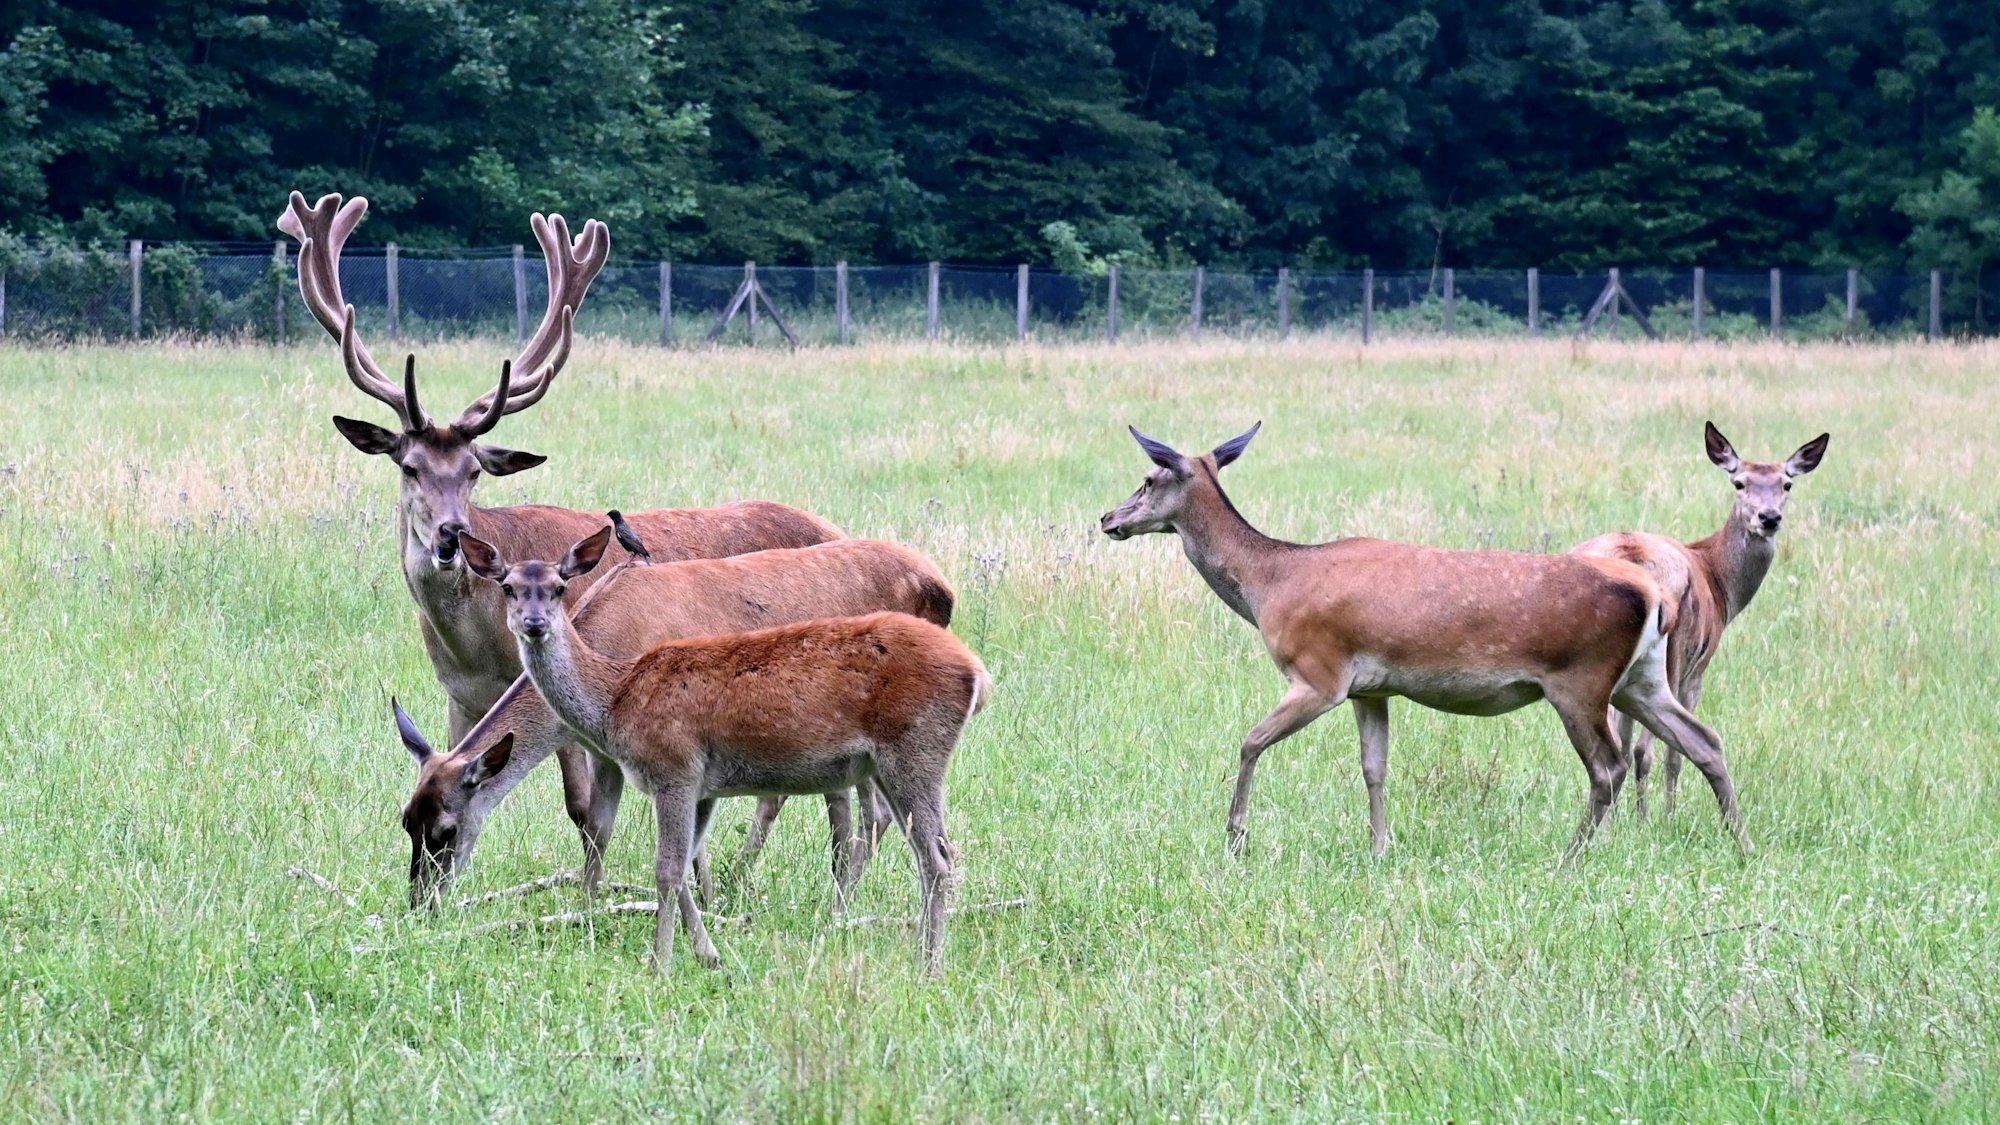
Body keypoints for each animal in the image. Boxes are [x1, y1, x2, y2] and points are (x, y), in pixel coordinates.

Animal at [279, 192, 843, 894]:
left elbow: (581, 810)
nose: (451, 535)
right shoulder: (456, 698)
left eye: (473, 471)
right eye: (408, 466)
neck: (476, 648)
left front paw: (590, 892)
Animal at [458, 526, 990, 976]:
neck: (615, 700)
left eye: (558, 587)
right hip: (883, 765)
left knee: (938, 855)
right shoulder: (704, 786)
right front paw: (709, 955)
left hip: (916, 750)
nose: (533, 623)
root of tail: (977, 675)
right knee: (909, 840)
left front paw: (660, 965)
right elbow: (687, 865)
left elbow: (667, 869)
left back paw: (928, 966)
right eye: (507, 587)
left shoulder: (674, 768)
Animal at [1099, 422, 1752, 862]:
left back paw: (1571, 856)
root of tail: (1654, 591)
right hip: (1642, 678)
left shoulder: (1318, 673)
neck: (1271, 586)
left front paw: (1235, 837)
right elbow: (1374, 767)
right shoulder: (1370, 688)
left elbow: (1250, 741)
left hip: (1581, 678)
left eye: (1148, 478)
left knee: (1609, 766)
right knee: (1705, 739)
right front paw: (1381, 846)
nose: (1108, 519)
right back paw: (1740, 841)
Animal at [1573, 422, 1828, 817]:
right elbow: (1670, 754)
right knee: (1648, 749)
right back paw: (1655, 818)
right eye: (1739, 482)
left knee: (1618, 744)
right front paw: (1662, 815)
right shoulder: (1698, 670)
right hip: (1673, 654)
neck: (1721, 585)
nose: (1769, 518)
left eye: (1787, 484)